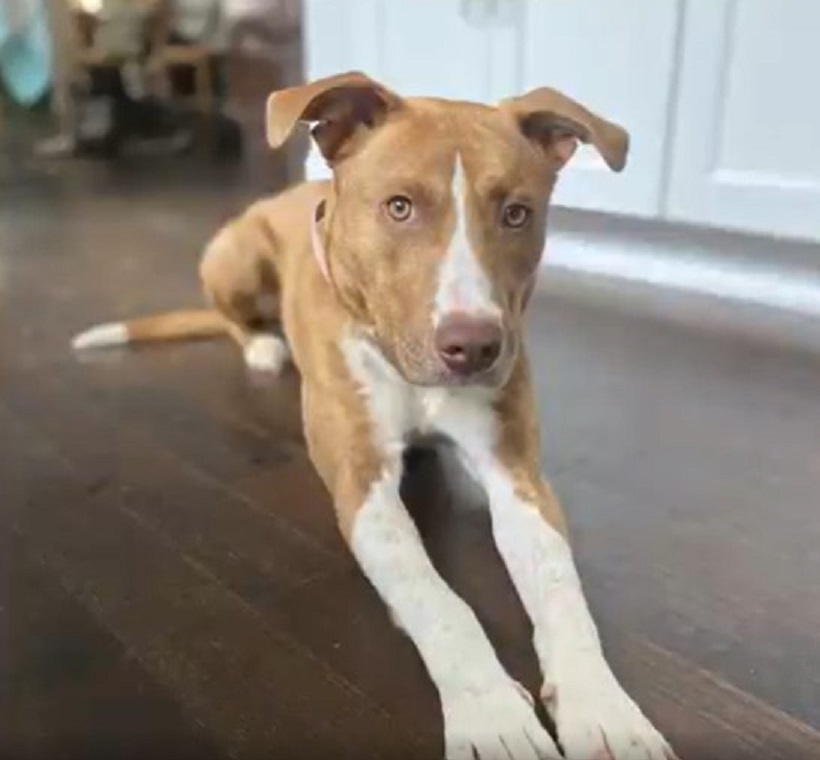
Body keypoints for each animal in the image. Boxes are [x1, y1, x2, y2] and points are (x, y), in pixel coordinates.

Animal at [72, 71, 672, 760]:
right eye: (399, 206)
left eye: (516, 213)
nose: (474, 348)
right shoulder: (362, 484)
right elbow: (438, 602)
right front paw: (491, 711)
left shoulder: (515, 472)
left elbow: (559, 589)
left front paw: (602, 709)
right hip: (232, 256)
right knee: (232, 318)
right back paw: (263, 346)